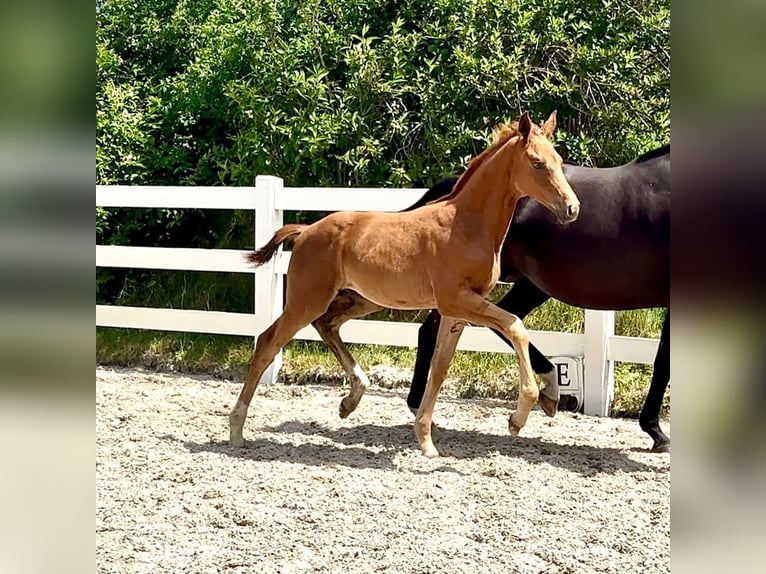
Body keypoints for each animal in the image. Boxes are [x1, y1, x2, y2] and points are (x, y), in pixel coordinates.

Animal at [230, 112, 580, 458]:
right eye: (537, 163)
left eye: (559, 160)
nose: (572, 208)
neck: (465, 225)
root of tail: (305, 231)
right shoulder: (456, 299)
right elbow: (515, 326)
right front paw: (519, 416)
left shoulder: (457, 311)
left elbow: (440, 368)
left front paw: (426, 441)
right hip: (307, 299)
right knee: (268, 342)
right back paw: (236, 431)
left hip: (360, 299)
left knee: (327, 324)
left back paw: (350, 400)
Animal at [313, 144, 670, 452]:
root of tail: (451, 189)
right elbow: (663, 363)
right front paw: (656, 432)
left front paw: (655, 431)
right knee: (452, 327)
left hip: (520, 286)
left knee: (474, 324)